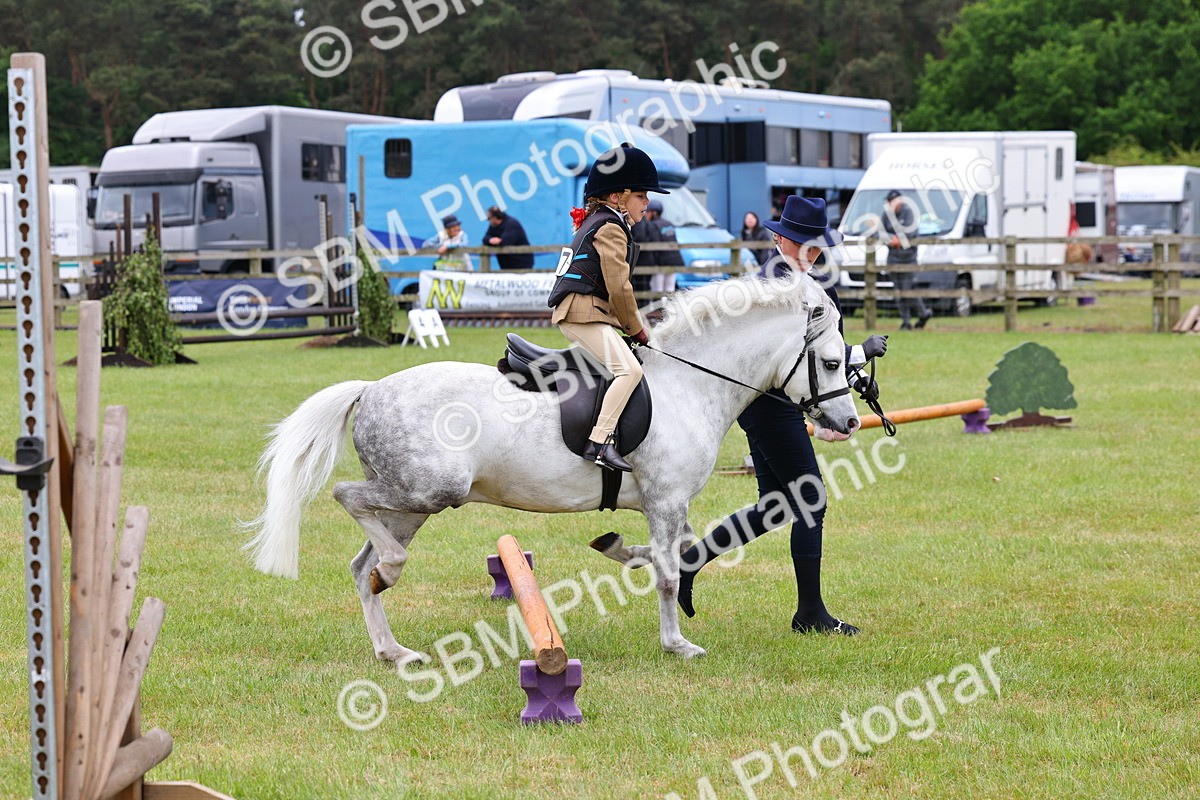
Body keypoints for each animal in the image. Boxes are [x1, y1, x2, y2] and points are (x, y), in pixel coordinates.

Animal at [244, 272, 861, 662]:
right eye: (832, 363)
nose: (849, 422)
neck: (690, 382)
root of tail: (371, 387)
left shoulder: (669, 505)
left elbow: (672, 553)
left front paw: (618, 548)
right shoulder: (665, 499)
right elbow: (667, 571)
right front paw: (677, 644)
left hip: (410, 506)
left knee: (361, 565)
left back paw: (392, 648)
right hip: (429, 490)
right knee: (348, 498)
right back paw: (392, 578)